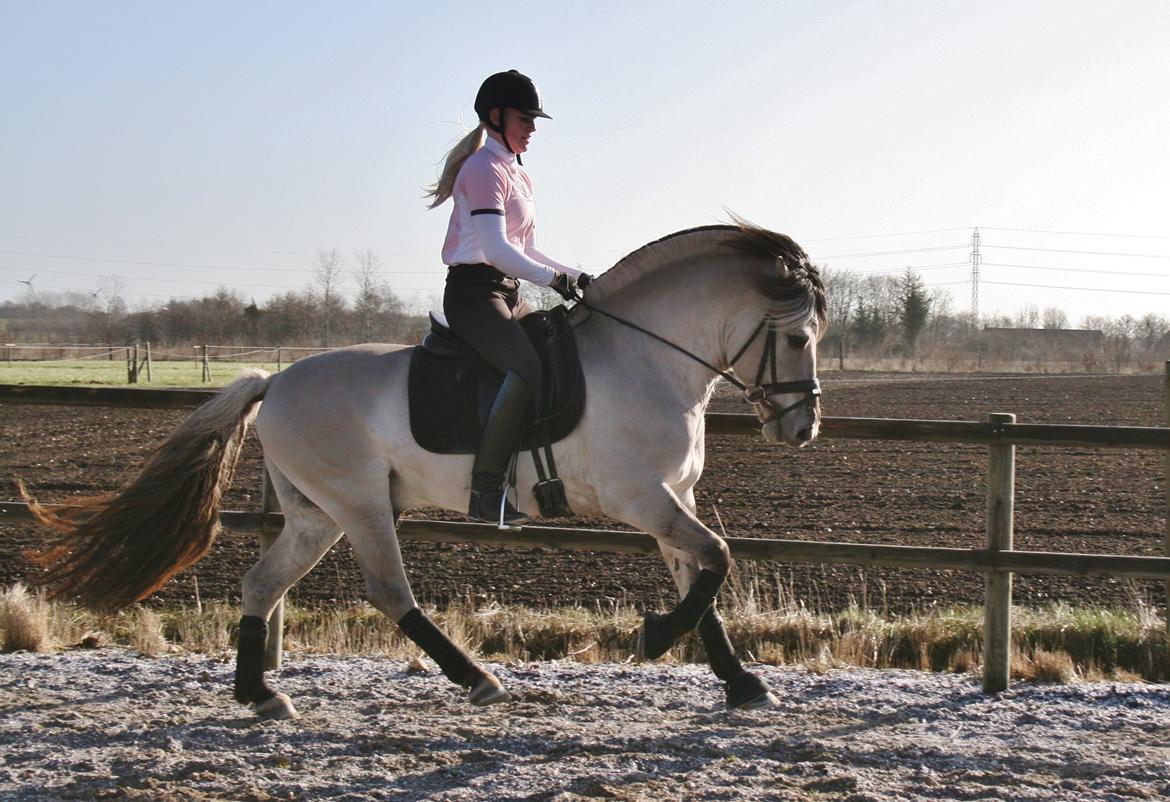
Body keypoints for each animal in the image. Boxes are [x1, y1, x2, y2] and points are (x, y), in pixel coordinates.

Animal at [18, 218, 823, 721]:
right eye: (797, 337)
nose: (802, 427)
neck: (645, 355)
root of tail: (276, 381)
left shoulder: (669, 498)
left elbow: (704, 582)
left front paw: (741, 683)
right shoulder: (643, 498)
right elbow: (718, 560)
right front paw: (654, 638)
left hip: (316, 515)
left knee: (261, 585)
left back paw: (261, 696)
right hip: (361, 505)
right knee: (388, 590)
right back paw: (477, 679)